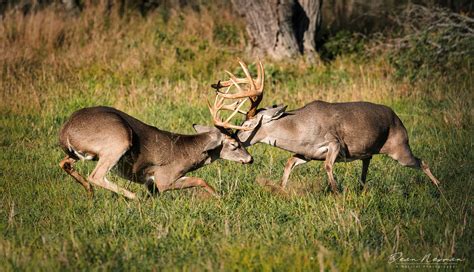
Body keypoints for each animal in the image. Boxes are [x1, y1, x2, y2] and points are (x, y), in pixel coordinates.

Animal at [58, 90, 256, 199]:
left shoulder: (151, 184)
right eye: (234, 144)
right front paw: (219, 198)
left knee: (64, 162)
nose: (250, 159)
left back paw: (90, 194)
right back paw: (133, 198)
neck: (188, 152)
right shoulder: (163, 178)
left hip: (81, 153)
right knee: (96, 175)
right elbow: (200, 180)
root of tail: (65, 130)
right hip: (118, 139)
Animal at [211, 60, 440, 194]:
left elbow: (328, 166)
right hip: (372, 150)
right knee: (367, 163)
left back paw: (440, 189)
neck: (299, 129)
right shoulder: (307, 153)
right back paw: (361, 188)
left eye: (246, 124)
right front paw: (281, 189)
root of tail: (397, 117)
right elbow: (288, 163)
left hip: (399, 147)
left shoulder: (334, 142)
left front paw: (337, 193)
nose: (234, 138)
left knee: (423, 161)